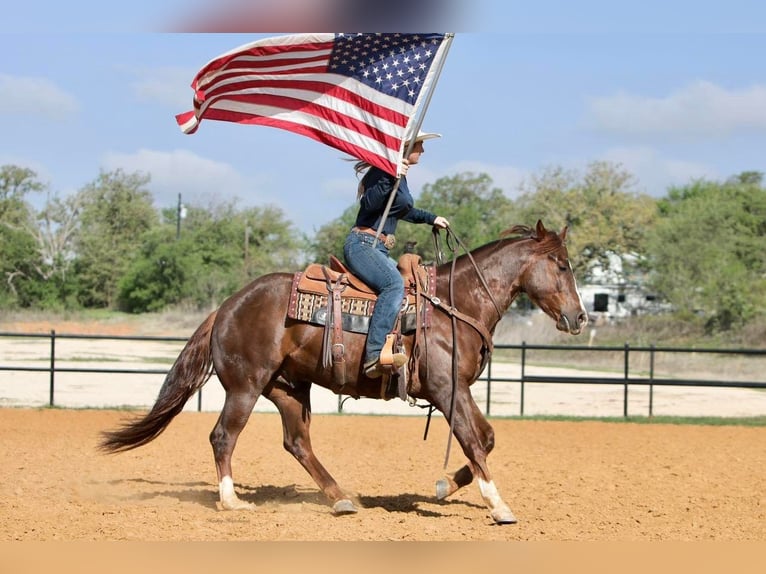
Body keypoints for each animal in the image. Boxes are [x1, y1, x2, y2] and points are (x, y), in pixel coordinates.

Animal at [97, 222, 588, 528]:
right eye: (562, 265)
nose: (580, 317)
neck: (454, 303)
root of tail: (227, 305)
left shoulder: (458, 389)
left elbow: (486, 437)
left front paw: (446, 485)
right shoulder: (448, 388)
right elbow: (473, 439)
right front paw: (498, 506)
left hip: (289, 388)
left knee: (297, 442)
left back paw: (341, 497)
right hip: (245, 386)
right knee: (224, 436)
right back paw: (232, 501)